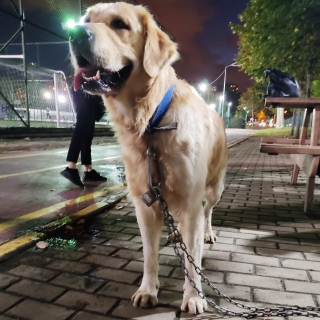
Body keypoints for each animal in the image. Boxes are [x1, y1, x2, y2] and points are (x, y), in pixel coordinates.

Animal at [69, 1, 228, 314]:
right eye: (87, 19)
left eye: (120, 24)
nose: (75, 32)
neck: (152, 120)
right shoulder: (145, 203)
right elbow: (149, 255)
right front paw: (147, 290)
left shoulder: (191, 199)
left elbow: (193, 259)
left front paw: (193, 297)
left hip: (214, 187)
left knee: (208, 213)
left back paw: (206, 232)